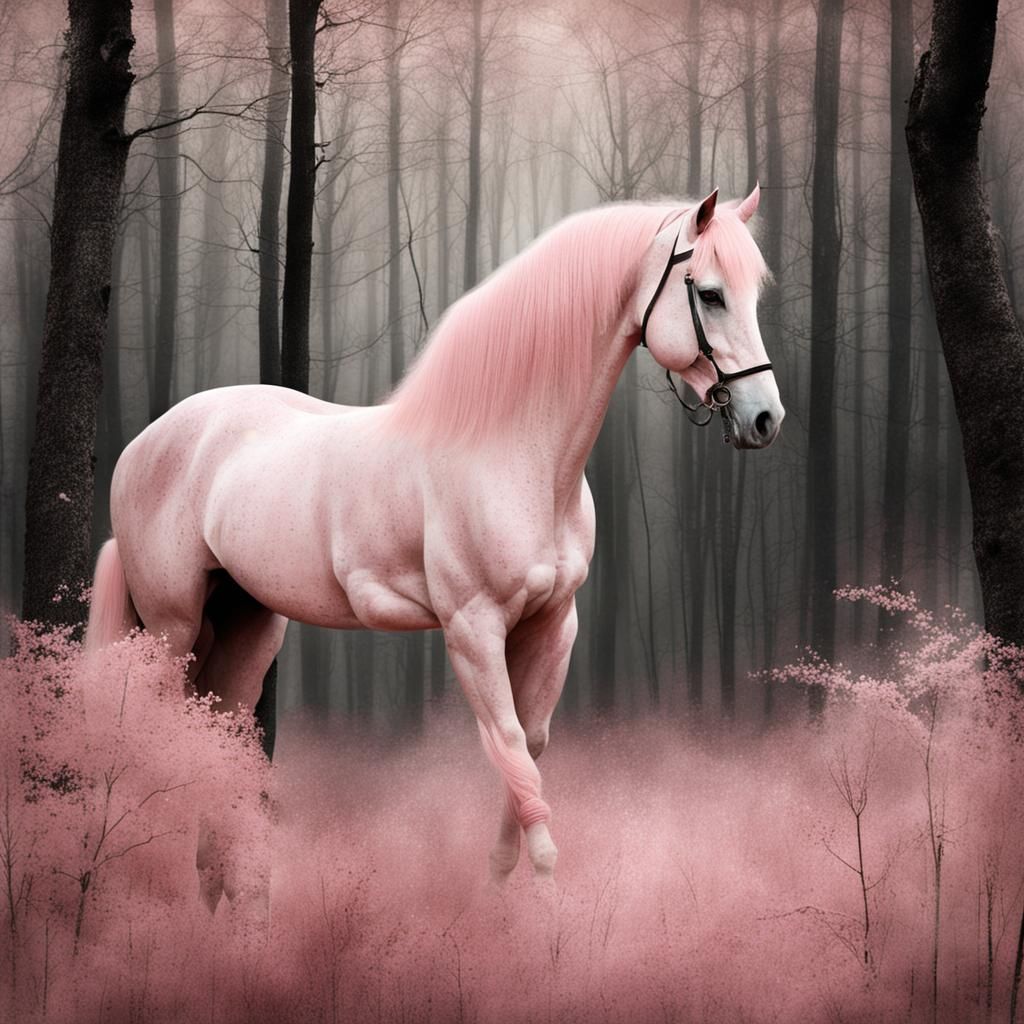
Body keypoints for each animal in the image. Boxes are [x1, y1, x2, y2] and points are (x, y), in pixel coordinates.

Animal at [85, 185, 783, 908]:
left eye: (752, 294)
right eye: (709, 294)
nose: (765, 418)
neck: (516, 454)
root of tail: (147, 442)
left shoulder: (553, 623)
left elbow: (529, 749)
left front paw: (503, 894)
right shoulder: (471, 628)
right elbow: (507, 743)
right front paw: (546, 902)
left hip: (247, 627)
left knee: (218, 738)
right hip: (169, 627)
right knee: (153, 732)